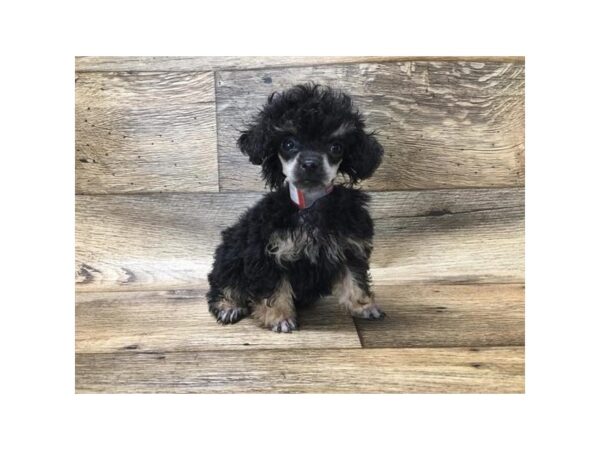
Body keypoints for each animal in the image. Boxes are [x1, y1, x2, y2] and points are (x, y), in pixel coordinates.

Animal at [206, 82, 384, 332]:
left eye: (336, 147)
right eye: (288, 144)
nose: (310, 164)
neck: (309, 205)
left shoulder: (351, 246)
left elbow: (355, 277)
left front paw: (364, 306)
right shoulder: (267, 253)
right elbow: (273, 288)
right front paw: (280, 318)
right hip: (231, 252)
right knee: (224, 282)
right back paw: (228, 306)